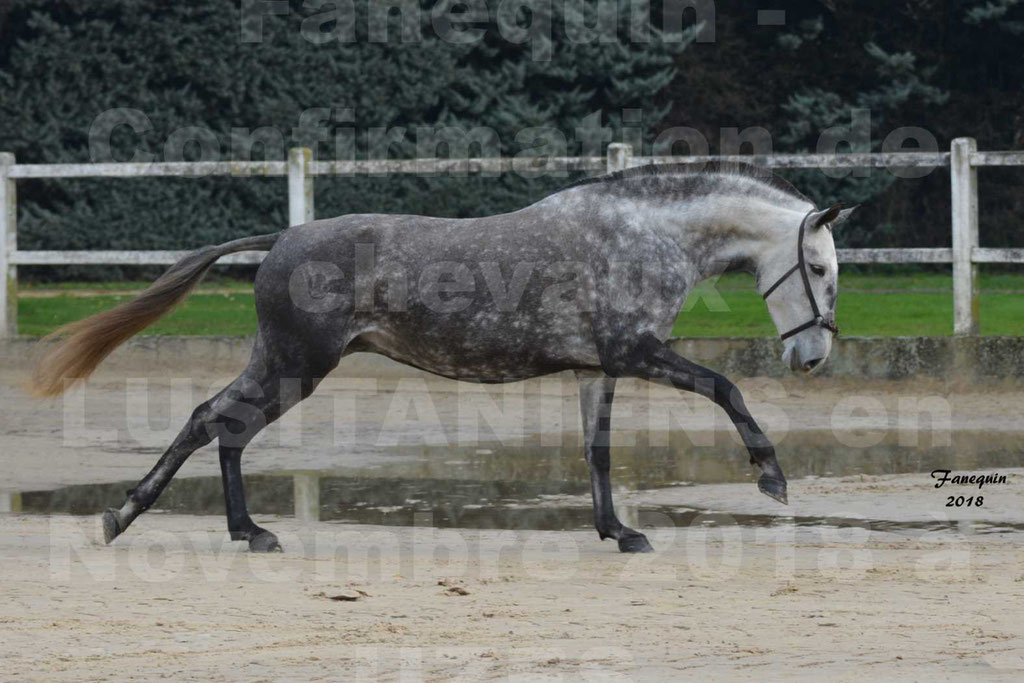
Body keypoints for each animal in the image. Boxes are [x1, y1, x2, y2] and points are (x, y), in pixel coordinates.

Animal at [32, 163, 851, 557]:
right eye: (818, 268)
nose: (812, 358)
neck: (642, 235)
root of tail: (281, 238)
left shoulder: (597, 367)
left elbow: (597, 452)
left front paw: (619, 532)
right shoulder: (636, 352)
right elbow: (725, 386)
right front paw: (772, 478)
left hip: (283, 362)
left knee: (214, 421)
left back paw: (186, 523)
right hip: (298, 365)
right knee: (223, 424)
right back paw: (175, 523)